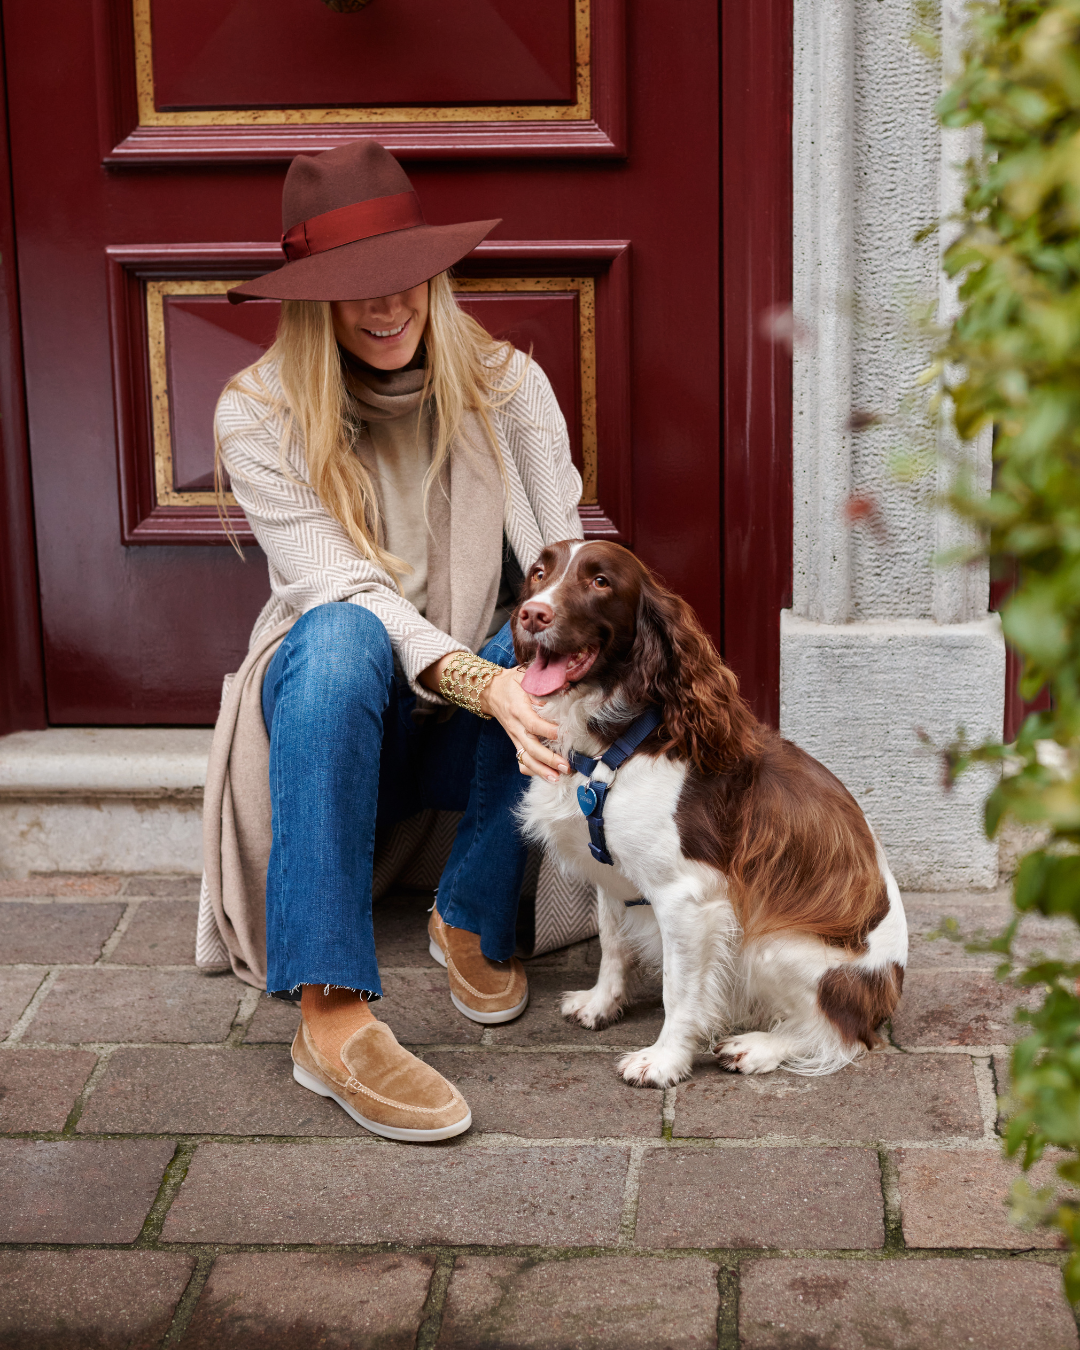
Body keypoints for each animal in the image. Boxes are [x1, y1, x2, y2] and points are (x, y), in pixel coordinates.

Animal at [510, 537, 907, 1085]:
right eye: (538, 572)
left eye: (600, 581)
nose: (532, 613)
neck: (612, 744)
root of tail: (890, 987)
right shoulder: (611, 875)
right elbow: (612, 942)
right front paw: (601, 1004)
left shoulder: (687, 898)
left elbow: (678, 993)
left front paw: (663, 1061)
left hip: (771, 943)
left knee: (843, 1035)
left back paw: (758, 1047)